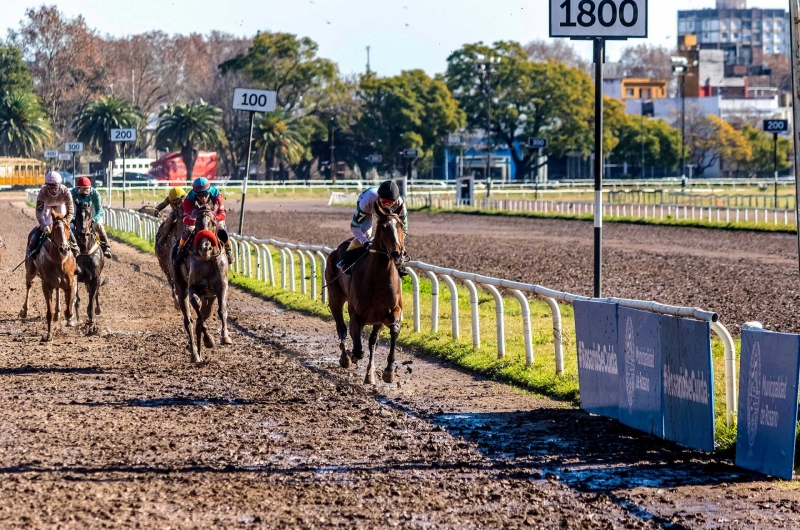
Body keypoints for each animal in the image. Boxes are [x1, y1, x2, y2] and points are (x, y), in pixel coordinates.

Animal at [19, 209, 78, 338]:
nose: (64, 249)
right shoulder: (46, 285)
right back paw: (24, 311)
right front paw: (49, 335)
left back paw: (58, 313)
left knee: (57, 289)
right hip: (30, 270)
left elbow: (69, 310)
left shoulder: (70, 283)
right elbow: (49, 312)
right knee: (29, 285)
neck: (59, 260)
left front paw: (68, 318)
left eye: (67, 227)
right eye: (55, 228)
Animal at [170, 204, 230, 360]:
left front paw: (225, 337)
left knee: (202, 316)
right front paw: (209, 340)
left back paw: (200, 352)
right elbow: (197, 310)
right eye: (196, 223)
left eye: (213, 223)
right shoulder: (192, 287)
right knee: (189, 321)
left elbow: (222, 309)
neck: (207, 259)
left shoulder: (221, 285)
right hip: (180, 288)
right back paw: (195, 354)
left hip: (209, 297)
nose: (205, 247)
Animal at [324, 206, 404, 384]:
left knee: (370, 340)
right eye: (383, 227)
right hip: (335, 297)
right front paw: (352, 356)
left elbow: (390, 332)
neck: (378, 280)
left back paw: (368, 373)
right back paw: (345, 358)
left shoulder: (389, 313)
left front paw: (388, 371)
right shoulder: (356, 315)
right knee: (341, 327)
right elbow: (358, 347)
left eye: (401, 225)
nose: (397, 253)